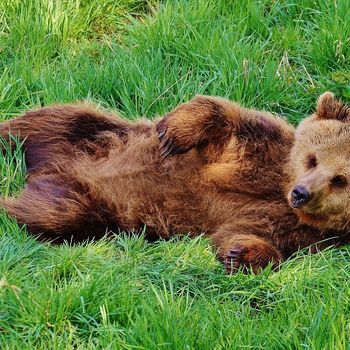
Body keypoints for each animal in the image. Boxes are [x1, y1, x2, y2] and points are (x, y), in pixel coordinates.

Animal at [0, 92, 350, 274]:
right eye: (312, 159)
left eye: (340, 180)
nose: (300, 193)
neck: (276, 189)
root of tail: (48, 171)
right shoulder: (258, 152)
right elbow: (226, 121)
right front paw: (175, 132)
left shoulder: (301, 233)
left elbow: (247, 234)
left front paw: (240, 253)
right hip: (90, 134)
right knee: (43, 123)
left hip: (93, 206)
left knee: (51, 214)